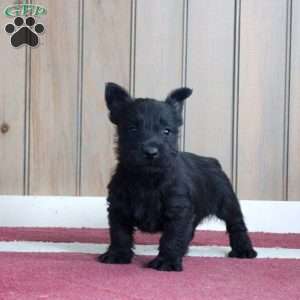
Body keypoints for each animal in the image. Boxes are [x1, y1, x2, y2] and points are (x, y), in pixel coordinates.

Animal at [98, 82, 255, 272]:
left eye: (166, 131)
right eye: (132, 129)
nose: (151, 152)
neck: (147, 178)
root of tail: (211, 160)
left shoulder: (178, 210)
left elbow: (172, 237)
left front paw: (167, 260)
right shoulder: (118, 208)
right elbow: (119, 233)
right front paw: (117, 254)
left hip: (227, 202)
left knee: (237, 225)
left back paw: (243, 249)